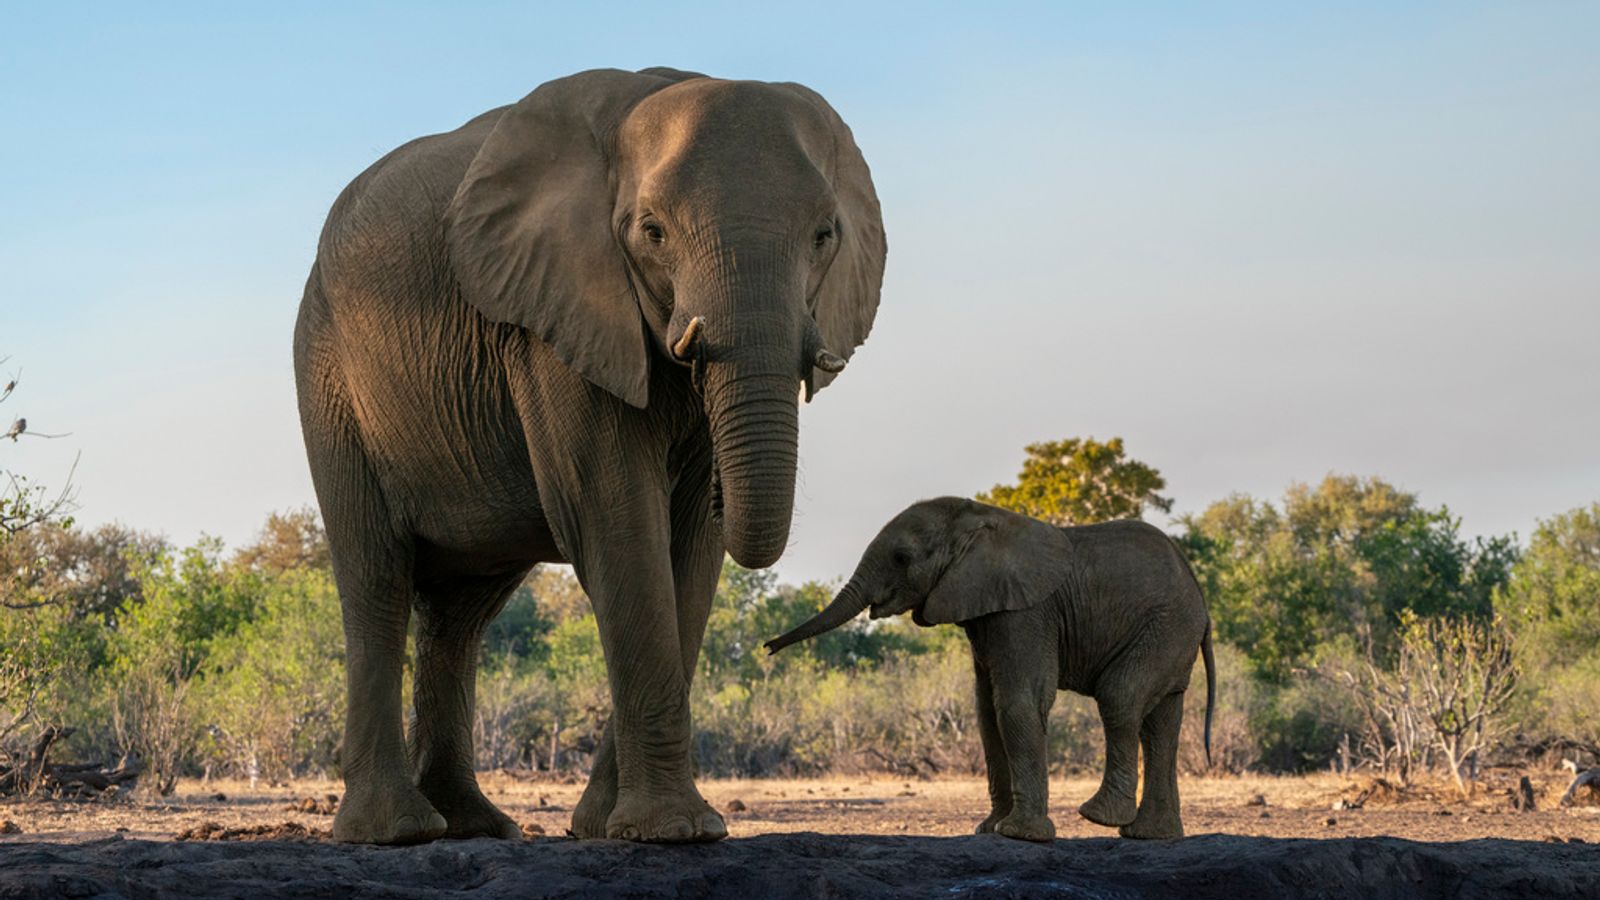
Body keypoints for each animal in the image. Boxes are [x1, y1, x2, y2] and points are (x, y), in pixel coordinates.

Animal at [297, 68, 889, 839]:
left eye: (824, 236)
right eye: (653, 232)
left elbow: (689, 549)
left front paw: (612, 827)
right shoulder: (553, 321)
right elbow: (615, 515)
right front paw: (671, 832)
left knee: (460, 613)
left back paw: (476, 826)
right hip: (329, 376)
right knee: (376, 577)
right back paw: (399, 832)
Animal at [761, 493, 1209, 839]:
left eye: (902, 557)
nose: (766, 647)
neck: (978, 518)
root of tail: (1198, 595)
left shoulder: (1025, 610)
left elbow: (1017, 702)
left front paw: (1021, 835)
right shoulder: (985, 609)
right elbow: (986, 711)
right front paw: (989, 829)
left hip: (1165, 626)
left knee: (1120, 697)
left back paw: (1099, 816)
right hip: (1171, 635)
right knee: (1161, 723)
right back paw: (1151, 835)